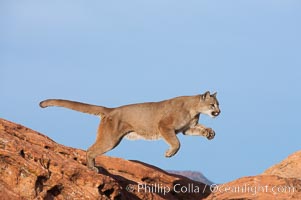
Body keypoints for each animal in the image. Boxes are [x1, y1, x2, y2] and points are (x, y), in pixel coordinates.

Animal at [38, 91, 219, 171]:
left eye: (218, 104)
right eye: (212, 105)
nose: (219, 112)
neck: (194, 109)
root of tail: (111, 110)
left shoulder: (186, 128)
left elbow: (199, 130)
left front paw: (210, 133)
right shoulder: (165, 126)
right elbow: (177, 143)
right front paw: (169, 153)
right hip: (110, 140)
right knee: (90, 150)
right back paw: (92, 168)